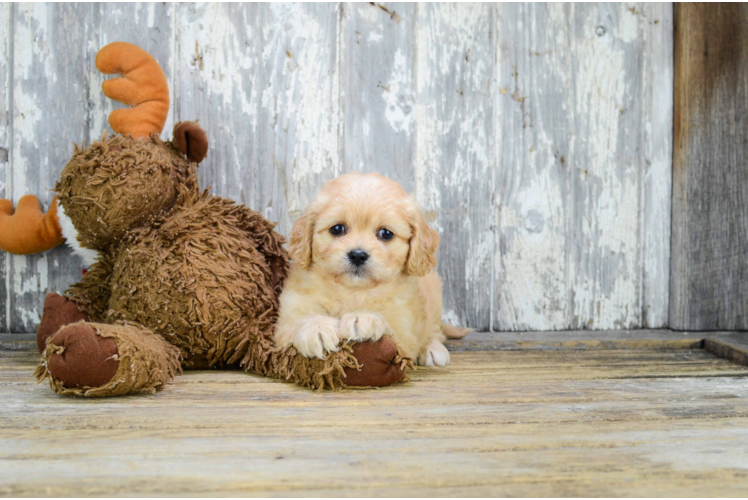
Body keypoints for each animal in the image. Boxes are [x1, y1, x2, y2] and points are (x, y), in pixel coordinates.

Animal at [274, 172, 470, 368]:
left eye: (386, 233)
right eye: (337, 229)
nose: (358, 255)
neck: (352, 291)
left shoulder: (405, 325)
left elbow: (392, 328)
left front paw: (363, 318)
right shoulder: (289, 313)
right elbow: (296, 321)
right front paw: (316, 329)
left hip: (435, 295)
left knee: (435, 330)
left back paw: (432, 349)